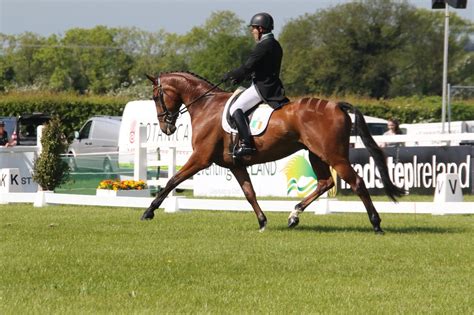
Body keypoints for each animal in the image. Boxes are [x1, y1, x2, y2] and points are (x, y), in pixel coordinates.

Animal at [141, 72, 404, 235]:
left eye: (156, 96)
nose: (166, 128)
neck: (206, 106)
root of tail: (336, 105)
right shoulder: (235, 164)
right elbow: (249, 193)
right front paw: (262, 221)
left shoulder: (200, 158)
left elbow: (172, 180)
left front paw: (149, 211)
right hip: (316, 154)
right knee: (325, 182)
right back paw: (293, 216)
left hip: (335, 157)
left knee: (357, 182)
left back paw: (376, 224)